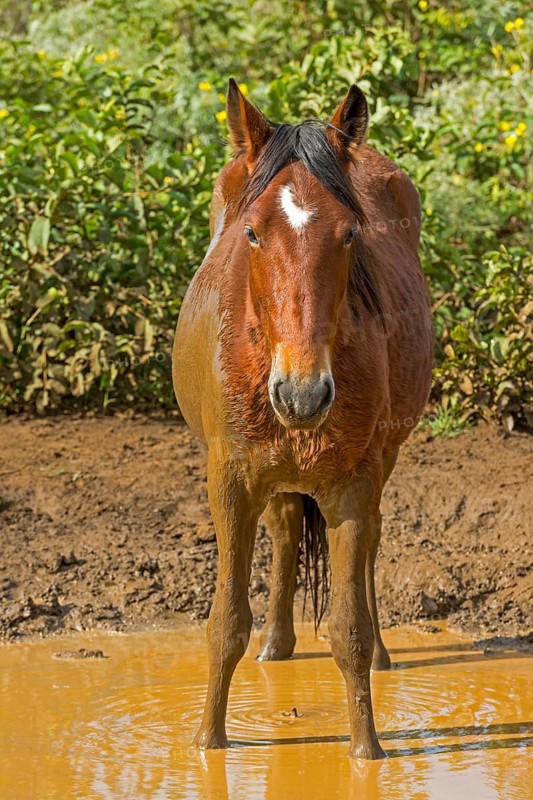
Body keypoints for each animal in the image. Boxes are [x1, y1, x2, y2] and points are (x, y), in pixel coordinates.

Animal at [172, 79, 433, 759]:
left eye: (348, 235)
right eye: (252, 233)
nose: (303, 393)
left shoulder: (351, 483)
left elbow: (348, 630)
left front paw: (366, 753)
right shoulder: (230, 481)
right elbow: (225, 624)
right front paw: (209, 743)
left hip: (382, 459)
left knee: (369, 545)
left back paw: (381, 653)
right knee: (287, 528)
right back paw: (276, 644)